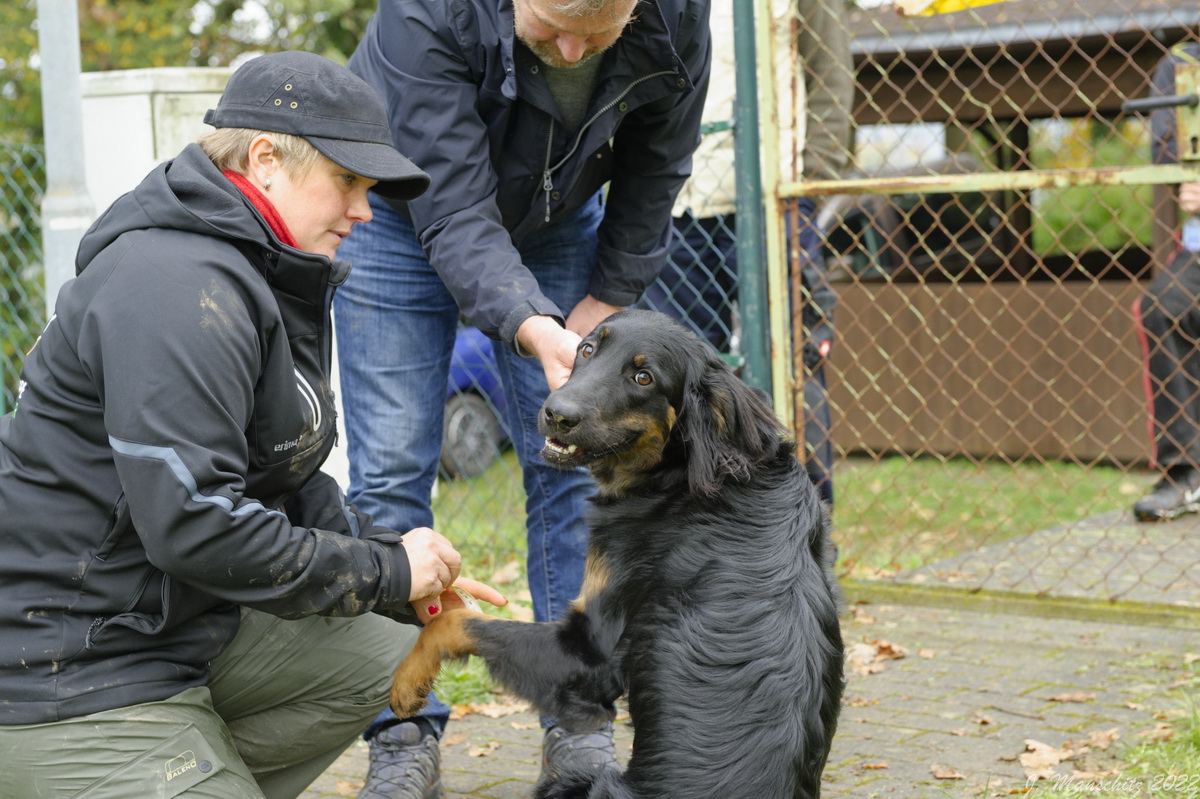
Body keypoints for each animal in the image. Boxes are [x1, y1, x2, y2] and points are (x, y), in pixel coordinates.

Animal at [393, 309, 844, 796]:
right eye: (587, 349)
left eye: (643, 377)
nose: (556, 414)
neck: (681, 479)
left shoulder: (590, 653)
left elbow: (456, 623)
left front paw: (406, 682)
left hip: (574, 781)